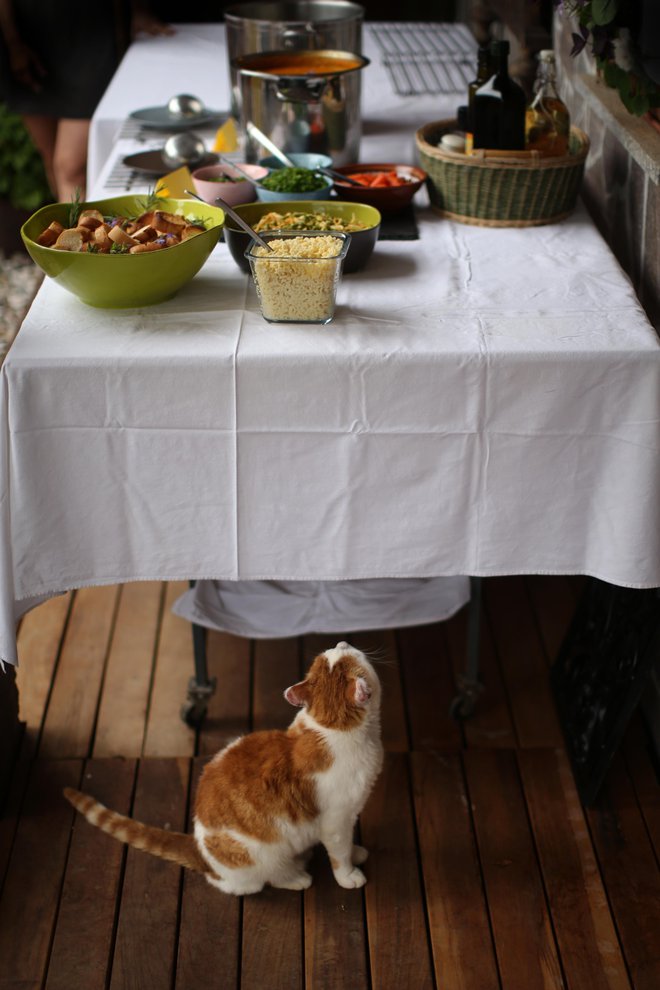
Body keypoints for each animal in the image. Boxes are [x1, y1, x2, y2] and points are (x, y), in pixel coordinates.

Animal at [63, 644, 382, 900]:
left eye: (337, 651)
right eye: (346, 651)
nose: (342, 641)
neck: (332, 727)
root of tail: (198, 846)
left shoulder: (348, 817)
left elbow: (347, 845)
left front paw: (357, 852)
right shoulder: (335, 821)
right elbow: (339, 852)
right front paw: (349, 874)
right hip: (262, 855)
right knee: (248, 882)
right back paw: (295, 877)